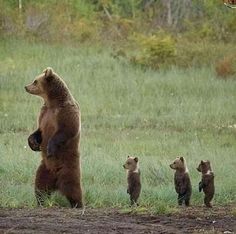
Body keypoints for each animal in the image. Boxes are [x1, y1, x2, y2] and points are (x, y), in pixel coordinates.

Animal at [24, 66, 83, 207]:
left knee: (73, 188)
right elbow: (39, 131)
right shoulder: (44, 113)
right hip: (44, 168)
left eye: (35, 81)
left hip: (68, 167)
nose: (26, 87)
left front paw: (49, 149)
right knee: (40, 186)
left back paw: (78, 204)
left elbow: (67, 130)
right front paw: (33, 143)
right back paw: (40, 202)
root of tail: (56, 181)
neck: (52, 102)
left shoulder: (65, 112)